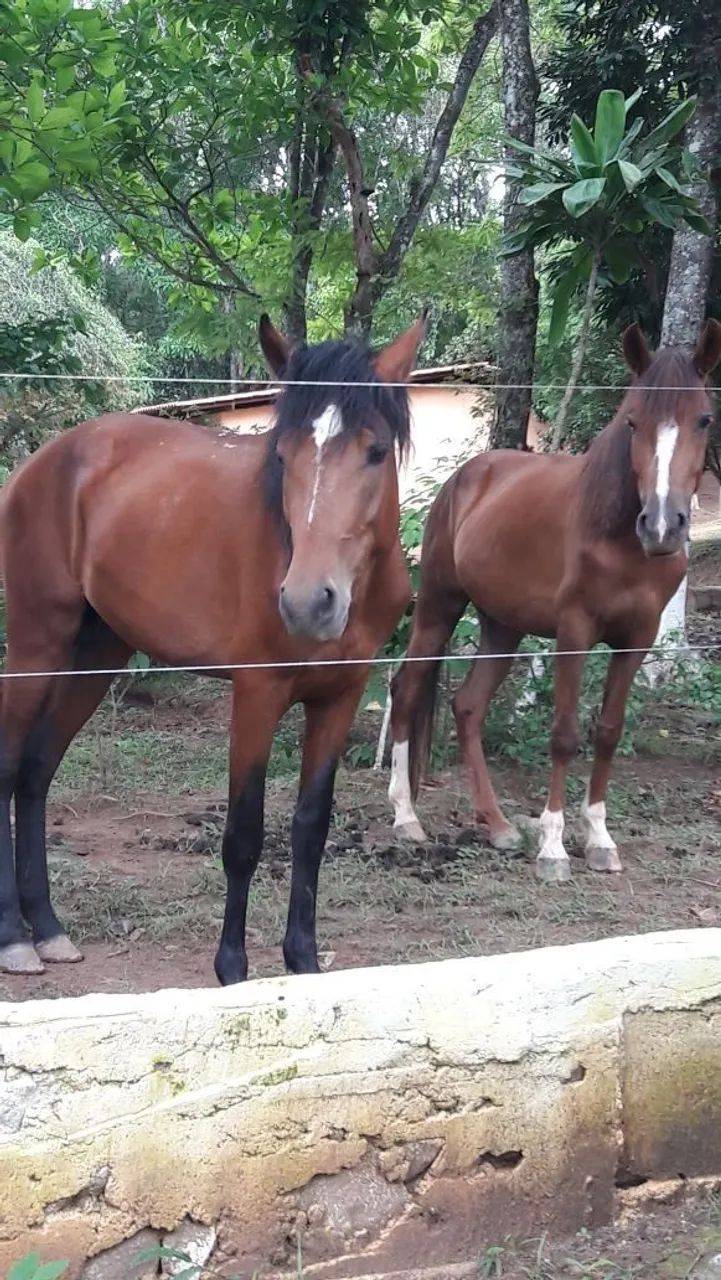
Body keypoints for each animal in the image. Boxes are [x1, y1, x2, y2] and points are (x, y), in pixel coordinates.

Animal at [0, 312, 428, 980]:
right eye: (283, 453)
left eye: (376, 451)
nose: (307, 603)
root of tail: (41, 462)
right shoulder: (257, 693)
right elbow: (244, 836)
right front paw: (232, 967)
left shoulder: (340, 696)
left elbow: (311, 828)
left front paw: (303, 959)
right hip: (36, 646)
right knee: (8, 766)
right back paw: (14, 937)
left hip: (97, 654)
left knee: (37, 769)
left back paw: (46, 927)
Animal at [388, 320, 721, 883]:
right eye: (633, 421)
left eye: (704, 418)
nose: (661, 525)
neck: (617, 536)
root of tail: (465, 478)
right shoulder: (575, 631)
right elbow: (564, 733)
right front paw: (553, 848)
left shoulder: (636, 639)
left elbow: (607, 730)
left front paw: (601, 840)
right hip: (438, 606)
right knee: (406, 689)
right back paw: (406, 817)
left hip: (502, 625)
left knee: (468, 706)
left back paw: (498, 826)